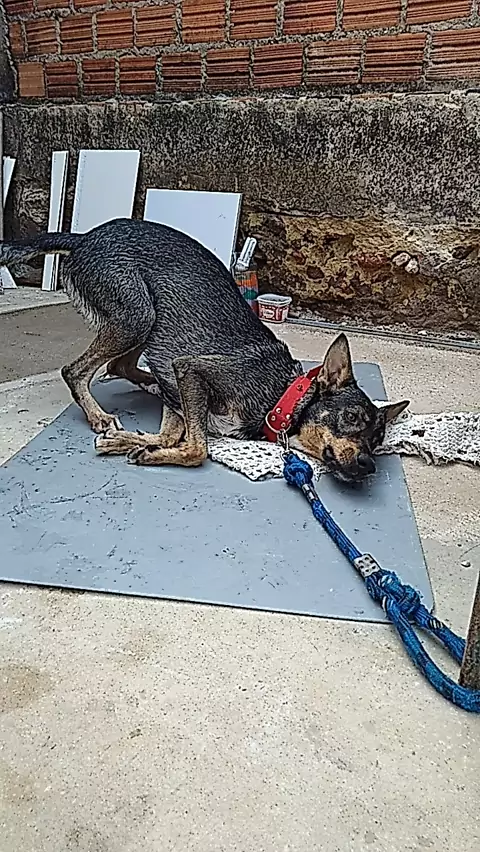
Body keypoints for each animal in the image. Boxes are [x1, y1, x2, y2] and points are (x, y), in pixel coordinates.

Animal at [0, 218, 408, 482]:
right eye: (351, 418)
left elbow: (169, 435)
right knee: (77, 370)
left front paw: (132, 443)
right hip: (137, 315)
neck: (283, 394)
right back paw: (99, 414)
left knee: (120, 366)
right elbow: (198, 450)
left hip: (148, 327)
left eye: (378, 441)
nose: (368, 467)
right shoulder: (189, 369)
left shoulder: (178, 385)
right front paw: (146, 450)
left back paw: (145, 387)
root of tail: (85, 236)